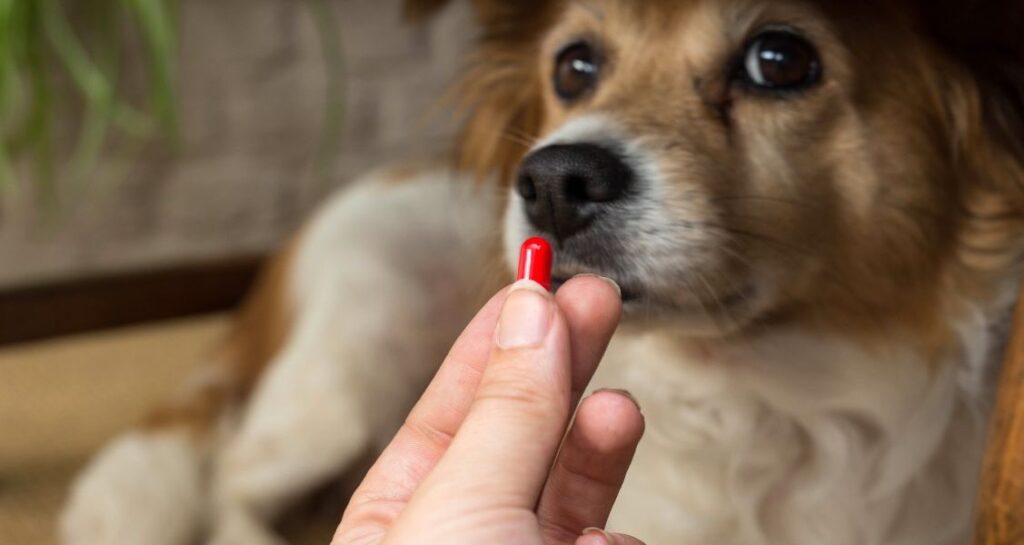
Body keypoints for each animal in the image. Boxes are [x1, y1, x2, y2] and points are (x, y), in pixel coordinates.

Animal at [59, 1, 1019, 545]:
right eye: (574, 65)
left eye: (780, 60)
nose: (553, 180)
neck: (771, 399)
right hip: (350, 374)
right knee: (231, 478)